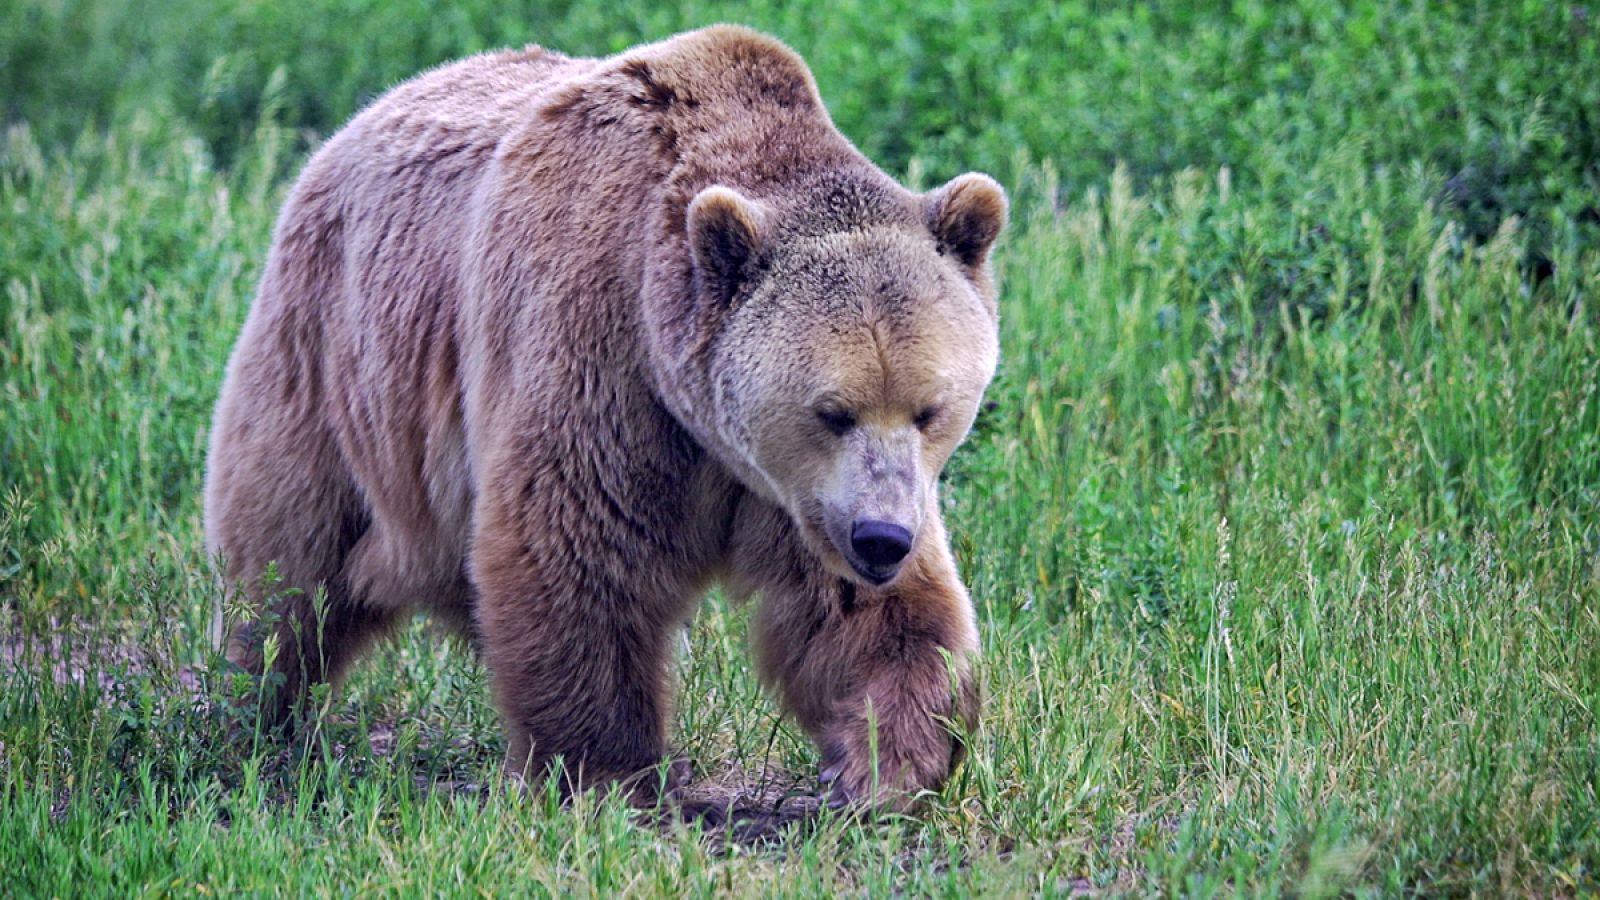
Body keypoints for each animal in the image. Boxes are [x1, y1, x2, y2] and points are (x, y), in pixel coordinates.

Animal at [206, 22, 1004, 807]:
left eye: (929, 410)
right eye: (831, 411)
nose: (882, 538)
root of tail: (363, 115)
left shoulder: (793, 491)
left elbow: (872, 615)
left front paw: (887, 764)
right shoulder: (603, 355)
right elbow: (576, 556)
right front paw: (608, 773)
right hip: (331, 355)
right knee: (287, 552)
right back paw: (252, 707)